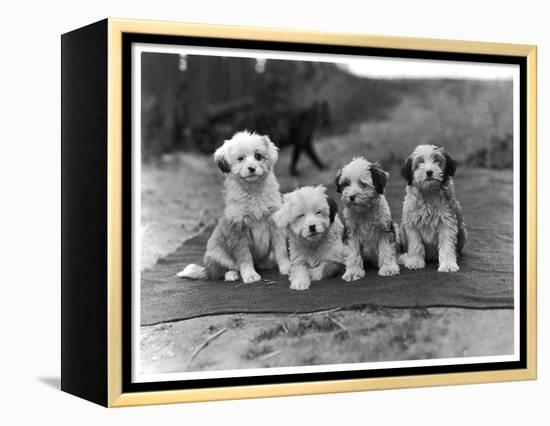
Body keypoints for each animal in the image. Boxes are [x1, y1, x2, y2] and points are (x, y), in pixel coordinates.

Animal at [178, 130, 292, 282]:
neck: (253, 191)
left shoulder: (275, 223)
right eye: (240, 158)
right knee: (219, 272)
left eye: (258, 156)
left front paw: (286, 268)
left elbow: (281, 249)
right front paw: (250, 275)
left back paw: (266, 264)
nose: (252, 168)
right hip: (217, 255)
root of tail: (206, 269)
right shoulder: (238, 229)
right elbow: (245, 257)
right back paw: (231, 275)